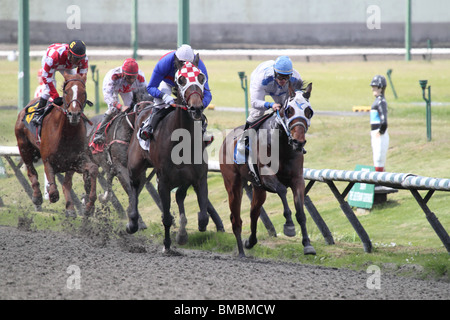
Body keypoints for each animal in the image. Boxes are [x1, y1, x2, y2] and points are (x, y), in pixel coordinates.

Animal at [14, 74, 97, 216]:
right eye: (66, 91)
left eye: (84, 92)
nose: (74, 114)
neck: (66, 134)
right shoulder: (48, 160)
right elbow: (53, 189)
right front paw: (50, 194)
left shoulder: (75, 162)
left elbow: (92, 169)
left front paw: (89, 206)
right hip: (24, 146)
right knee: (31, 171)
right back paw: (37, 196)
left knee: (66, 184)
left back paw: (70, 209)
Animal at [126, 57, 223, 252]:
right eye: (181, 79)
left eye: (201, 77)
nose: (196, 108)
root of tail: (143, 108)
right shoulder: (163, 181)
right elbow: (166, 217)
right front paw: (167, 245)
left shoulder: (198, 177)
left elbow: (203, 218)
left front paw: (182, 235)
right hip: (135, 163)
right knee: (134, 185)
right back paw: (132, 222)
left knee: (179, 196)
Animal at [220, 85, 314, 258]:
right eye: (289, 110)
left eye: (309, 111)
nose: (298, 142)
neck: (281, 145)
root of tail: (227, 138)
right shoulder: (266, 176)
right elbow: (282, 190)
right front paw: (289, 225)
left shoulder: (297, 179)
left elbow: (300, 211)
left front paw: (307, 245)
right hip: (233, 185)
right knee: (236, 219)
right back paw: (241, 252)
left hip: (258, 189)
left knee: (254, 212)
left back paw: (250, 241)